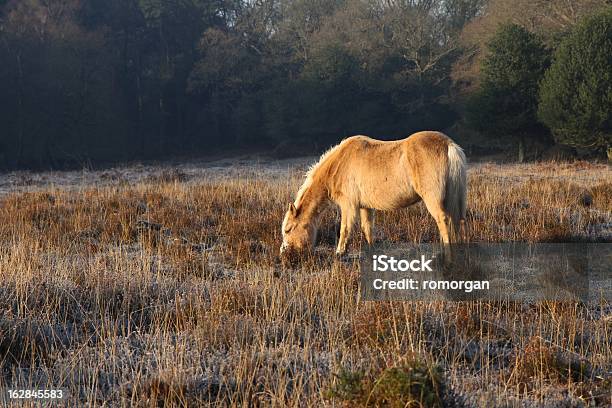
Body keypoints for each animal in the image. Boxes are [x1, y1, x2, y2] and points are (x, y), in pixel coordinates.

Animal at [280, 132, 466, 256]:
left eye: (288, 229)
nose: (284, 253)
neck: (340, 163)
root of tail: (448, 145)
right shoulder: (365, 207)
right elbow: (368, 228)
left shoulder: (349, 205)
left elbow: (345, 229)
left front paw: (340, 252)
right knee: (457, 221)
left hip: (433, 199)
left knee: (444, 220)